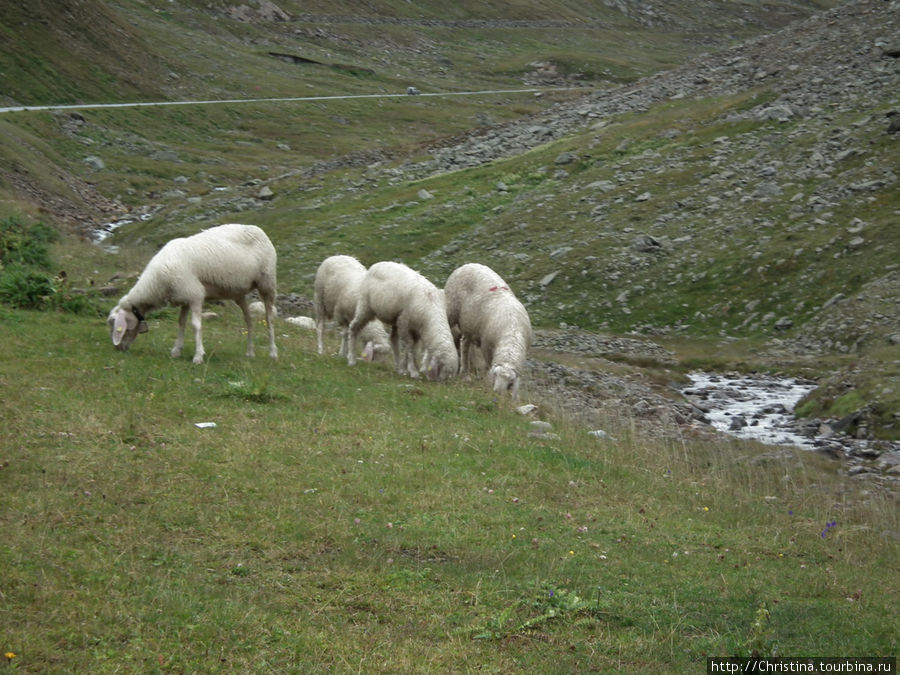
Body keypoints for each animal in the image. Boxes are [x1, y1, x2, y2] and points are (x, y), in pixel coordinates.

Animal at [106, 224, 276, 364]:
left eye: (116, 326)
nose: (118, 349)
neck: (156, 283)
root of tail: (258, 229)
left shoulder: (194, 294)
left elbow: (195, 325)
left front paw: (198, 356)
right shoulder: (183, 296)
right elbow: (181, 322)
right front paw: (176, 350)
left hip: (267, 282)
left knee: (269, 319)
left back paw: (273, 353)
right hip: (239, 293)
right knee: (249, 320)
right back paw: (250, 352)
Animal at [444, 262, 532, 402]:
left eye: (510, 381)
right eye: (496, 375)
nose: (497, 392)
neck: (511, 330)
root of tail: (468, 264)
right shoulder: (487, 347)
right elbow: (487, 366)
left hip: (470, 325)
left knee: (465, 344)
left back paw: (465, 373)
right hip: (451, 308)